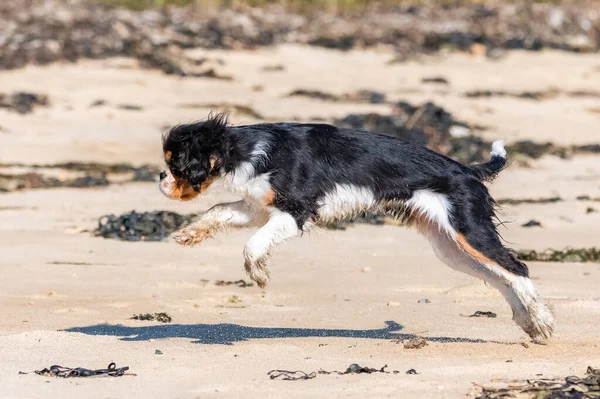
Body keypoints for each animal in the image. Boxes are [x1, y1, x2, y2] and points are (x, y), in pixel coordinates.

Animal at [158, 113, 552, 344]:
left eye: (175, 164)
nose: (159, 177)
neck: (245, 148)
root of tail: (468, 170)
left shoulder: (295, 212)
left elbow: (253, 245)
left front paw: (259, 274)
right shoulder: (259, 207)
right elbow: (218, 210)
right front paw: (189, 234)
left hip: (468, 232)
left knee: (517, 269)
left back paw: (542, 321)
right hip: (451, 249)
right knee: (501, 277)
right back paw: (529, 323)